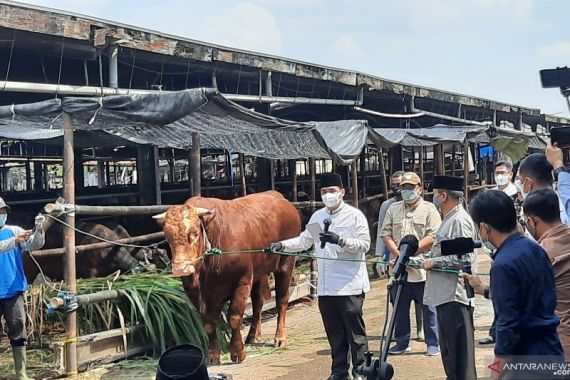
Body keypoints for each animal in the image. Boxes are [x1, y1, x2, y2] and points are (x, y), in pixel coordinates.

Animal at [153, 191, 300, 364]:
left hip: (286, 263)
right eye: (168, 237)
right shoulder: (195, 292)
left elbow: (235, 317)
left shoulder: (241, 282)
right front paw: (212, 355)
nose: (180, 268)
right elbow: (208, 323)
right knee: (258, 303)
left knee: (281, 300)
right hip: (258, 273)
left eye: (194, 234)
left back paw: (280, 338)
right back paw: (252, 336)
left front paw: (237, 352)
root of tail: (280, 198)